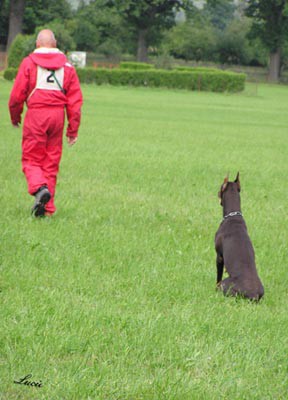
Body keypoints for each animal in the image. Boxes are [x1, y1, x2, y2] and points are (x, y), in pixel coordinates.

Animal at [214, 172, 264, 300]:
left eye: (220, 189)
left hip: (226, 284)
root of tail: (254, 294)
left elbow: (218, 277)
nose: (216, 193)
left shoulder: (219, 256)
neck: (233, 215)